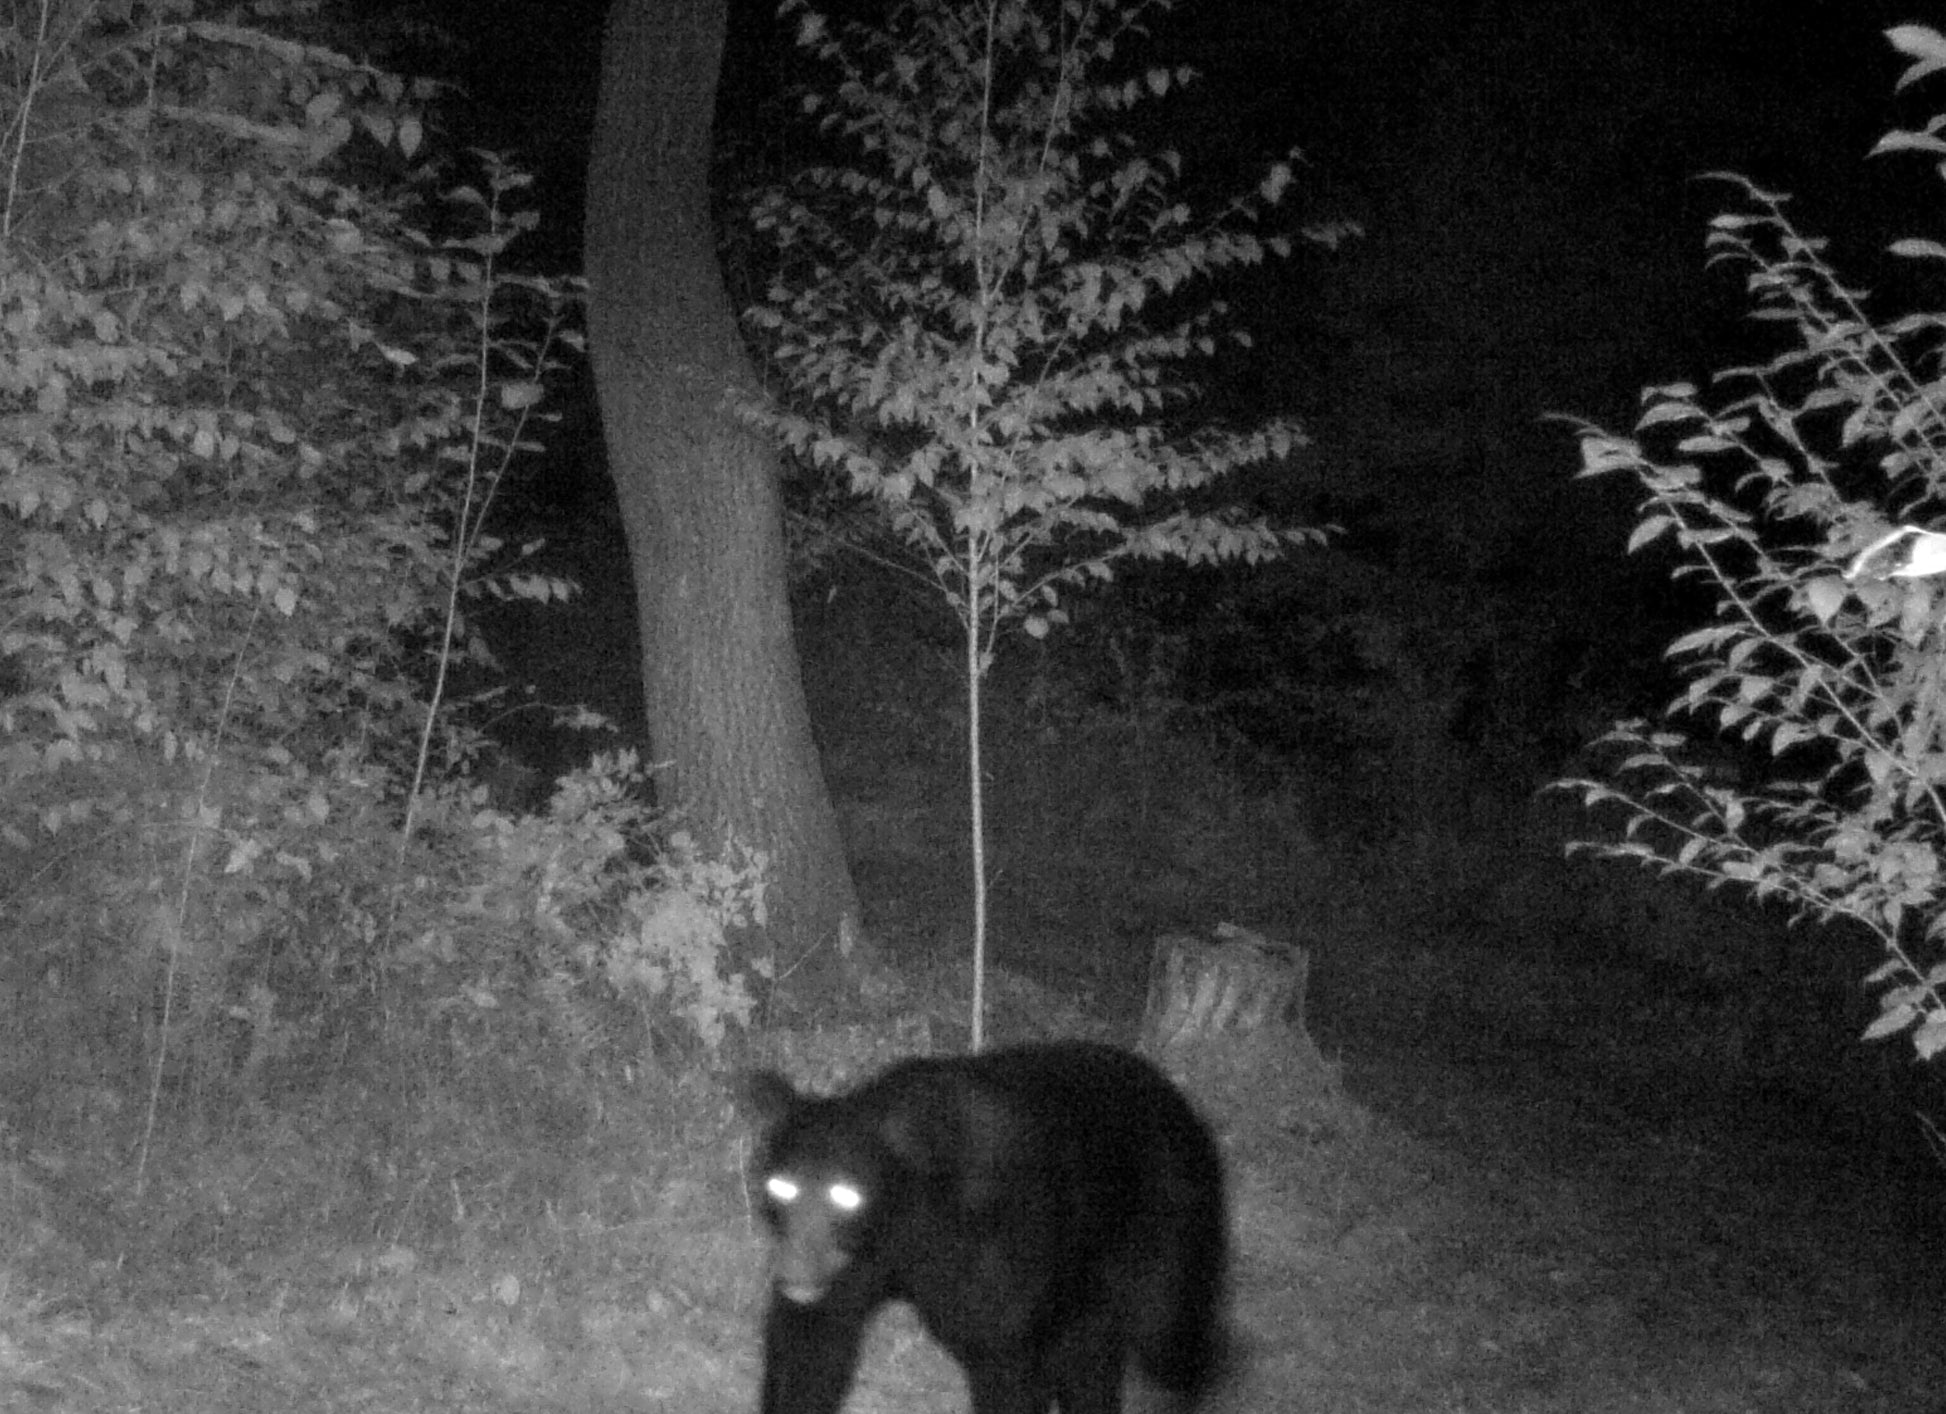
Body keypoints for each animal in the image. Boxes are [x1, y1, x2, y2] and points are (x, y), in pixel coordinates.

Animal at [746, 1039, 1229, 1414]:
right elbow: (811, 1352)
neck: (911, 1227)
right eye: (781, 1185)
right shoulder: (849, 1274)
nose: (792, 1272)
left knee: (1169, 1353)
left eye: (846, 1194)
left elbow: (1009, 1376)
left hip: (1165, 1254)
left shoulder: (1005, 1293)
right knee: (1090, 1363)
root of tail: (1186, 1110)